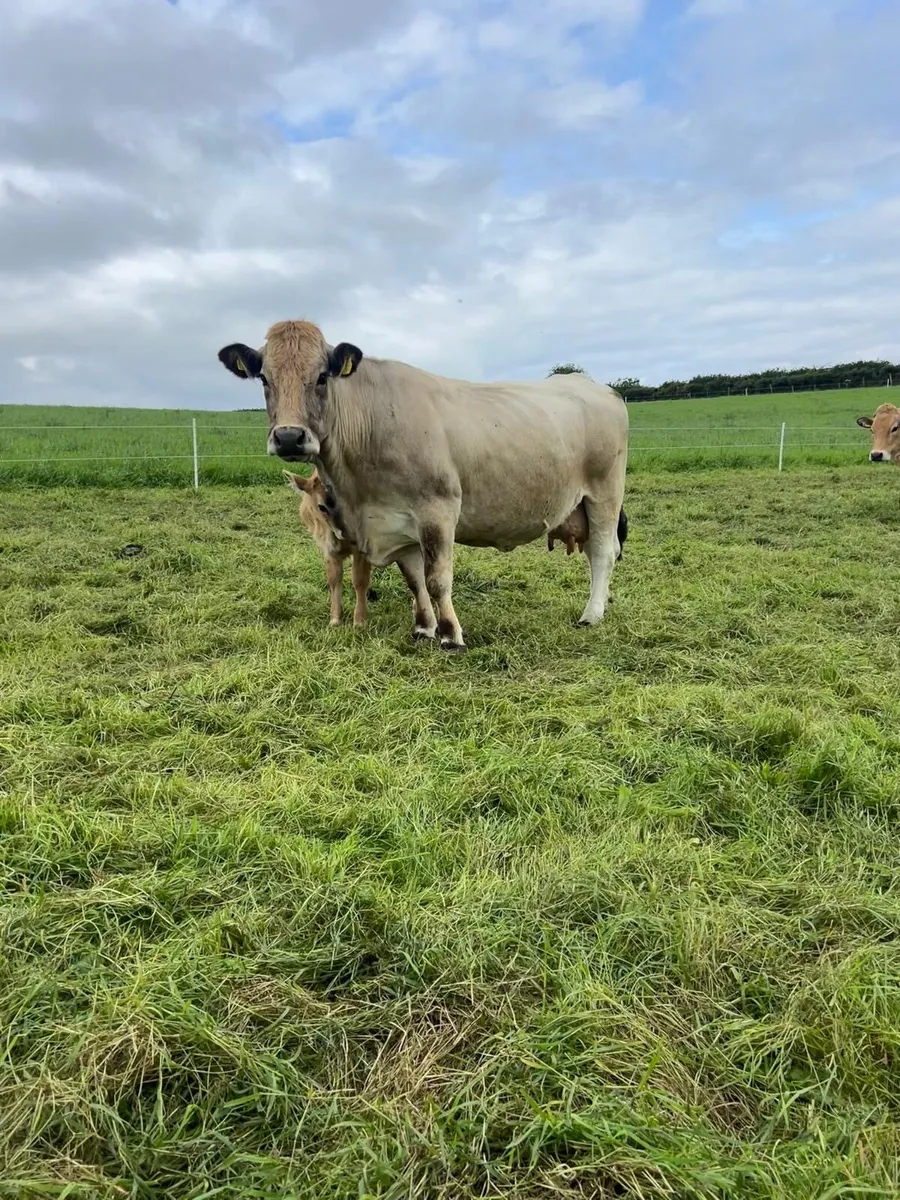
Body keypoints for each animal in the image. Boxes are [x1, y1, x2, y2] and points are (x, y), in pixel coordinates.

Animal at [217, 320, 628, 650]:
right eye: (264, 378)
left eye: (322, 376)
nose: (288, 437)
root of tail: (593, 385)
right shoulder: (397, 522)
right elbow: (414, 580)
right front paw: (424, 628)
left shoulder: (438, 510)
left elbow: (436, 578)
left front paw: (450, 635)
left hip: (604, 493)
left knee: (603, 553)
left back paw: (591, 614)